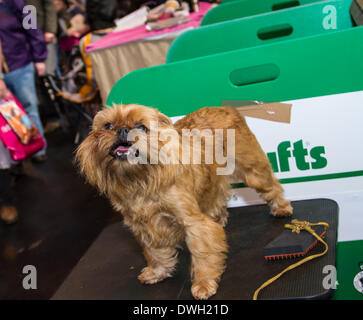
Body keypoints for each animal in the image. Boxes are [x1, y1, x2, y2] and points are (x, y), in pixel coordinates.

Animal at [76, 104, 292, 298]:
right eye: (107, 125)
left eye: (141, 127)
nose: (122, 130)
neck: (141, 179)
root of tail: (227, 108)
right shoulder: (145, 226)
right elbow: (154, 252)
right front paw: (157, 271)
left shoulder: (192, 223)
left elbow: (203, 253)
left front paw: (203, 284)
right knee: (217, 196)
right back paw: (218, 218)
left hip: (252, 170)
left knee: (271, 185)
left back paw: (281, 208)